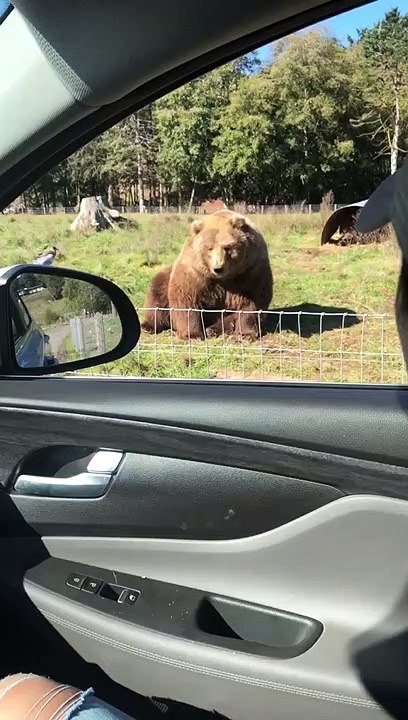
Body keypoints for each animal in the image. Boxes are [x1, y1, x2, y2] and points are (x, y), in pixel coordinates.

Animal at [142, 210, 273, 341]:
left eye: (227, 247)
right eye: (209, 248)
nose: (218, 268)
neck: (225, 278)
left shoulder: (250, 270)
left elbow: (251, 301)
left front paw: (245, 334)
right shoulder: (196, 271)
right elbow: (186, 297)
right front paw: (192, 335)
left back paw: (213, 329)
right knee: (157, 292)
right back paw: (148, 326)